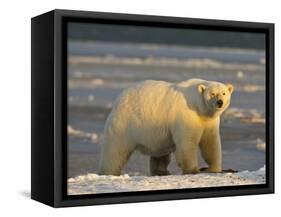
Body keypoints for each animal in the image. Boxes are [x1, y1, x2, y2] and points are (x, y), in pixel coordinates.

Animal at [97, 79, 233, 175]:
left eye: (224, 93)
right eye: (212, 93)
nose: (219, 102)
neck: (198, 106)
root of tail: (120, 98)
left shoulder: (209, 121)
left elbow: (210, 143)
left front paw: (215, 168)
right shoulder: (186, 115)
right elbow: (187, 143)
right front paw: (193, 170)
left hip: (156, 131)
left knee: (160, 152)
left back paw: (161, 171)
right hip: (125, 123)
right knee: (115, 149)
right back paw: (108, 171)